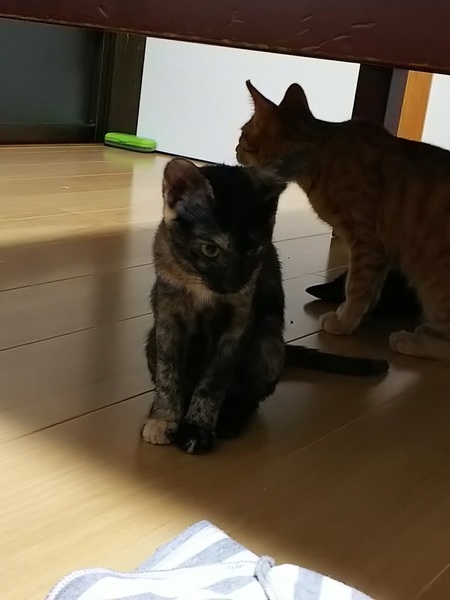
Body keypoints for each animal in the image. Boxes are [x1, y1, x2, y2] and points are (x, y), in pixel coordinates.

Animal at [141, 158, 389, 454]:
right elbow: (168, 372)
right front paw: (163, 419)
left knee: (250, 397)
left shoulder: (239, 322)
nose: (234, 283)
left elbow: (214, 380)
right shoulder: (167, 316)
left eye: (254, 249)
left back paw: (230, 419)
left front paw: (198, 429)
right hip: (151, 339)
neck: (201, 287)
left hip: (268, 342)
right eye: (210, 249)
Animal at [236, 80, 450, 363]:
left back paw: (410, 340)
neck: (320, 155)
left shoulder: (365, 241)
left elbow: (355, 287)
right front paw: (356, 318)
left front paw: (344, 322)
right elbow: (371, 290)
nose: (235, 149)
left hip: (435, 288)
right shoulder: (379, 252)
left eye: (242, 134)